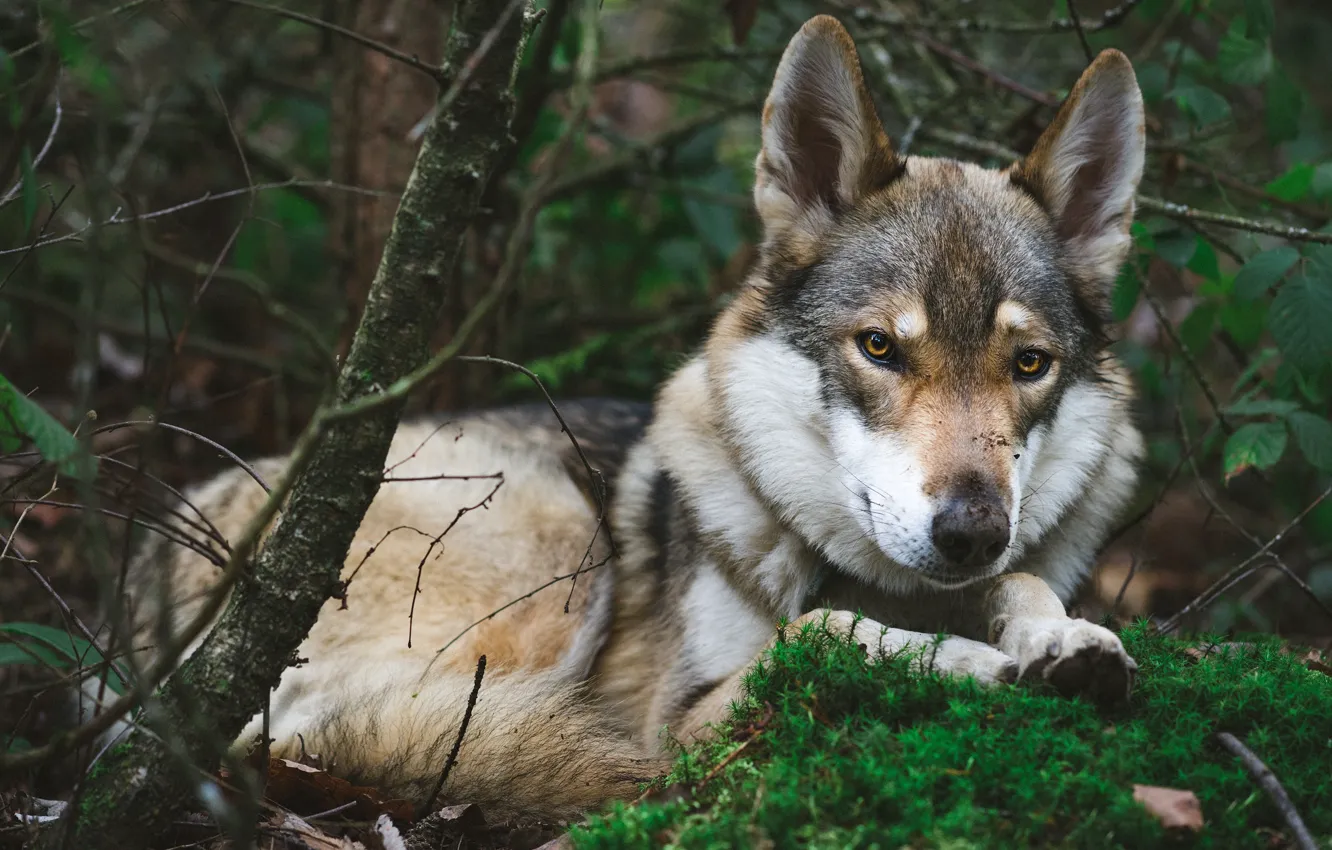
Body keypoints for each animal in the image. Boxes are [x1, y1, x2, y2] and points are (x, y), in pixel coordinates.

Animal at [115, 15, 1147, 825]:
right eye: (881, 349)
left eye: (1028, 365)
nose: (972, 531)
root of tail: (168, 537)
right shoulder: (683, 718)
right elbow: (825, 630)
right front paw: (968, 663)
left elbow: (1022, 587)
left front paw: (1066, 642)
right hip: (556, 557)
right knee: (334, 732)